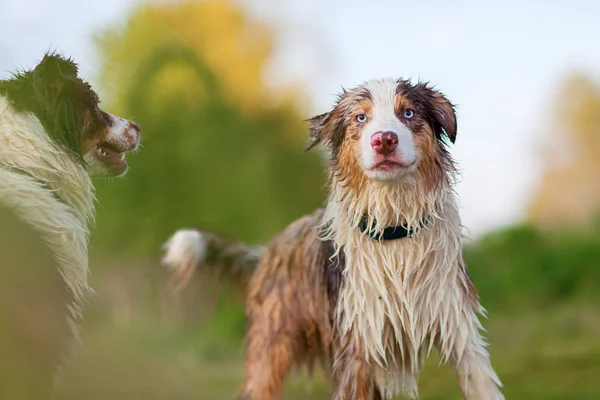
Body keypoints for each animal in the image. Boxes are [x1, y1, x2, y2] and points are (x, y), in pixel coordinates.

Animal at [162, 76, 504, 398]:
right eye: (360, 118)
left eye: (408, 112)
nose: (384, 140)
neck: (394, 232)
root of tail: (267, 251)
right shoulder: (357, 343)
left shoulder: (459, 329)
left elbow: (481, 383)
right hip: (271, 348)